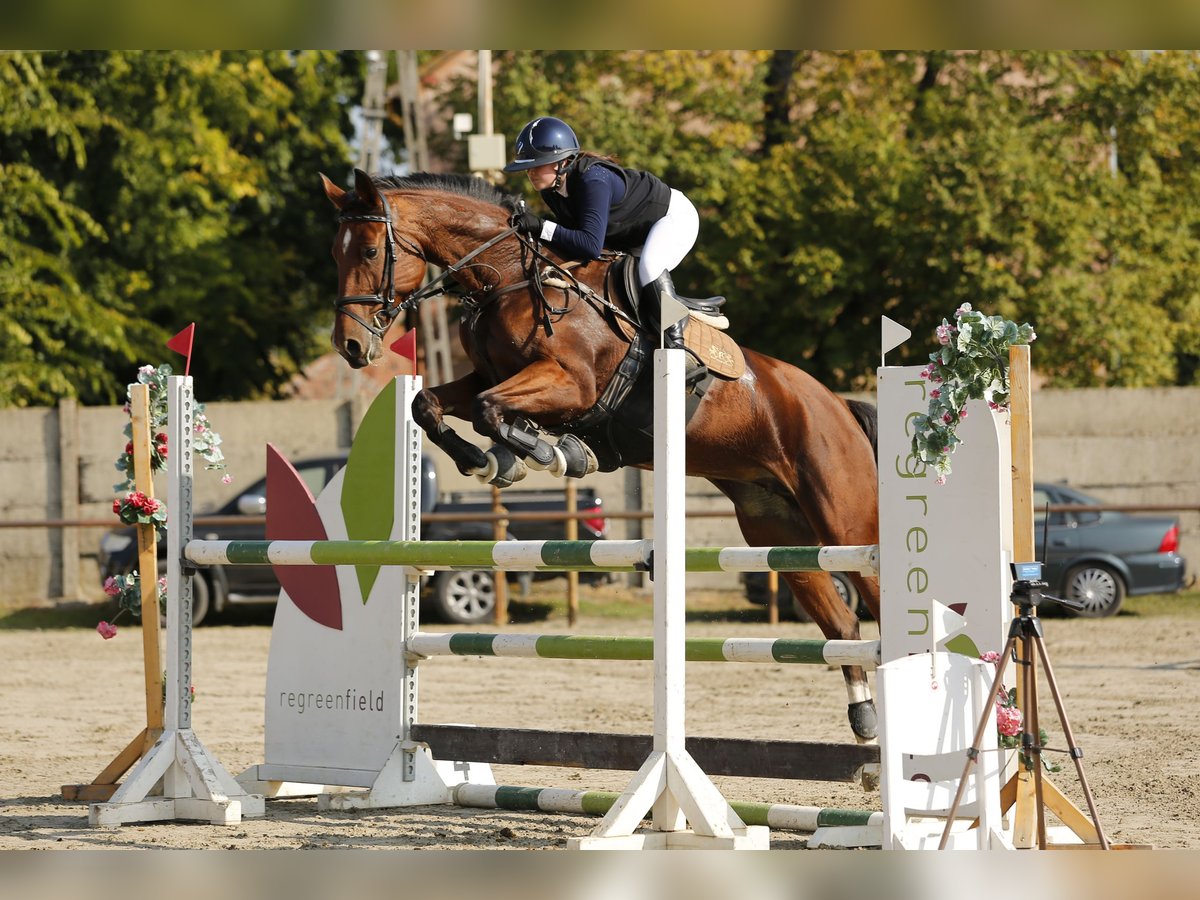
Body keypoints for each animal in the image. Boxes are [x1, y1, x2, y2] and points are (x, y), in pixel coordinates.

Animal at [319, 170, 883, 748]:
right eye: (336, 254)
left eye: (369, 249)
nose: (350, 346)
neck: (507, 278)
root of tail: (838, 405)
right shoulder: (488, 376)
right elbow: (431, 404)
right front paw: (493, 460)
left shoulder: (572, 383)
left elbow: (488, 408)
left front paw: (554, 454)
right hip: (779, 533)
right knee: (843, 625)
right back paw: (863, 718)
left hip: (846, 524)